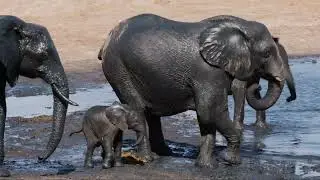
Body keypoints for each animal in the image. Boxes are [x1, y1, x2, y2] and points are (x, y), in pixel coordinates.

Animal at [98, 13, 284, 167]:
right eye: (266, 53)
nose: (257, 85)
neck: (240, 26)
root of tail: (107, 38)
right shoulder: (208, 71)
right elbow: (209, 110)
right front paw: (230, 161)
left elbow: (206, 116)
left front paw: (207, 166)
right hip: (119, 69)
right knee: (137, 109)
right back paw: (148, 159)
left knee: (151, 114)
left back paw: (163, 153)